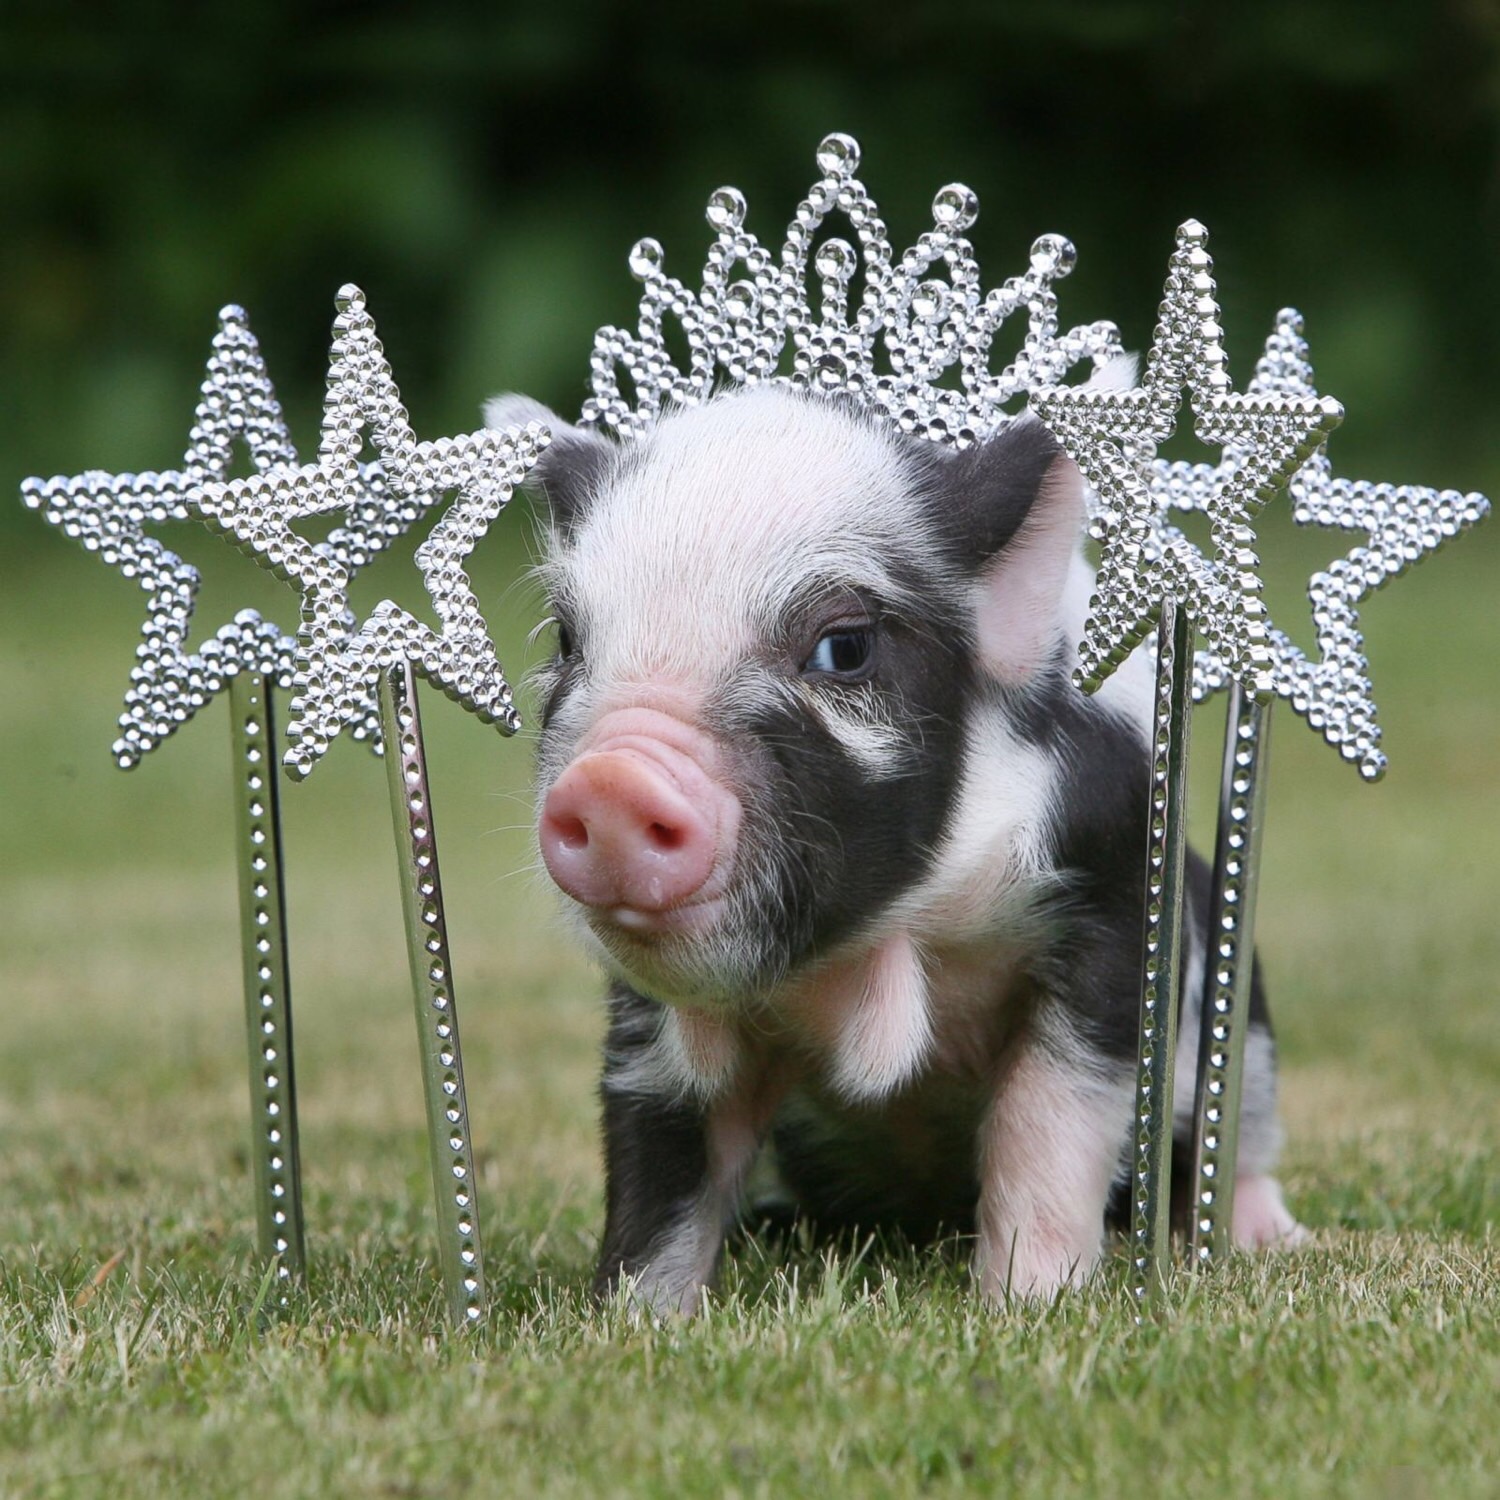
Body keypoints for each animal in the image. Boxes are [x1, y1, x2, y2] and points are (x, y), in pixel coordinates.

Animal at [485, 382, 1304, 1313]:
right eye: (567, 640)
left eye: (844, 647)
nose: (611, 781)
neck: (870, 950)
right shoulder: (650, 1016)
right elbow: (661, 1157)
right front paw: (638, 1320)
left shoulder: (1111, 901)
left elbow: (1049, 1118)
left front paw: (1029, 1307)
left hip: (1249, 1031)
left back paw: (1270, 1241)